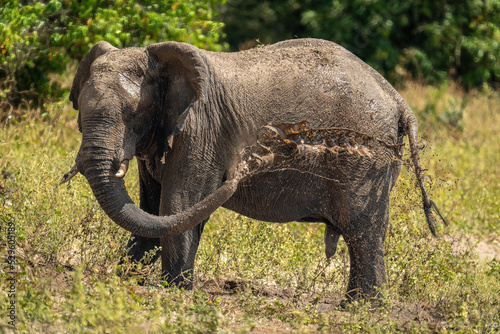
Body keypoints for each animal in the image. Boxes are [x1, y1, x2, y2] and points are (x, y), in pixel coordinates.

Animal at [60, 38, 448, 300]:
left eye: (131, 113)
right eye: (80, 111)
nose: (251, 158)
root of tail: (397, 98)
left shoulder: (201, 132)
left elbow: (177, 206)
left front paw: (174, 292)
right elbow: (150, 210)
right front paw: (128, 279)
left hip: (366, 161)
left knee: (362, 230)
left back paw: (360, 309)